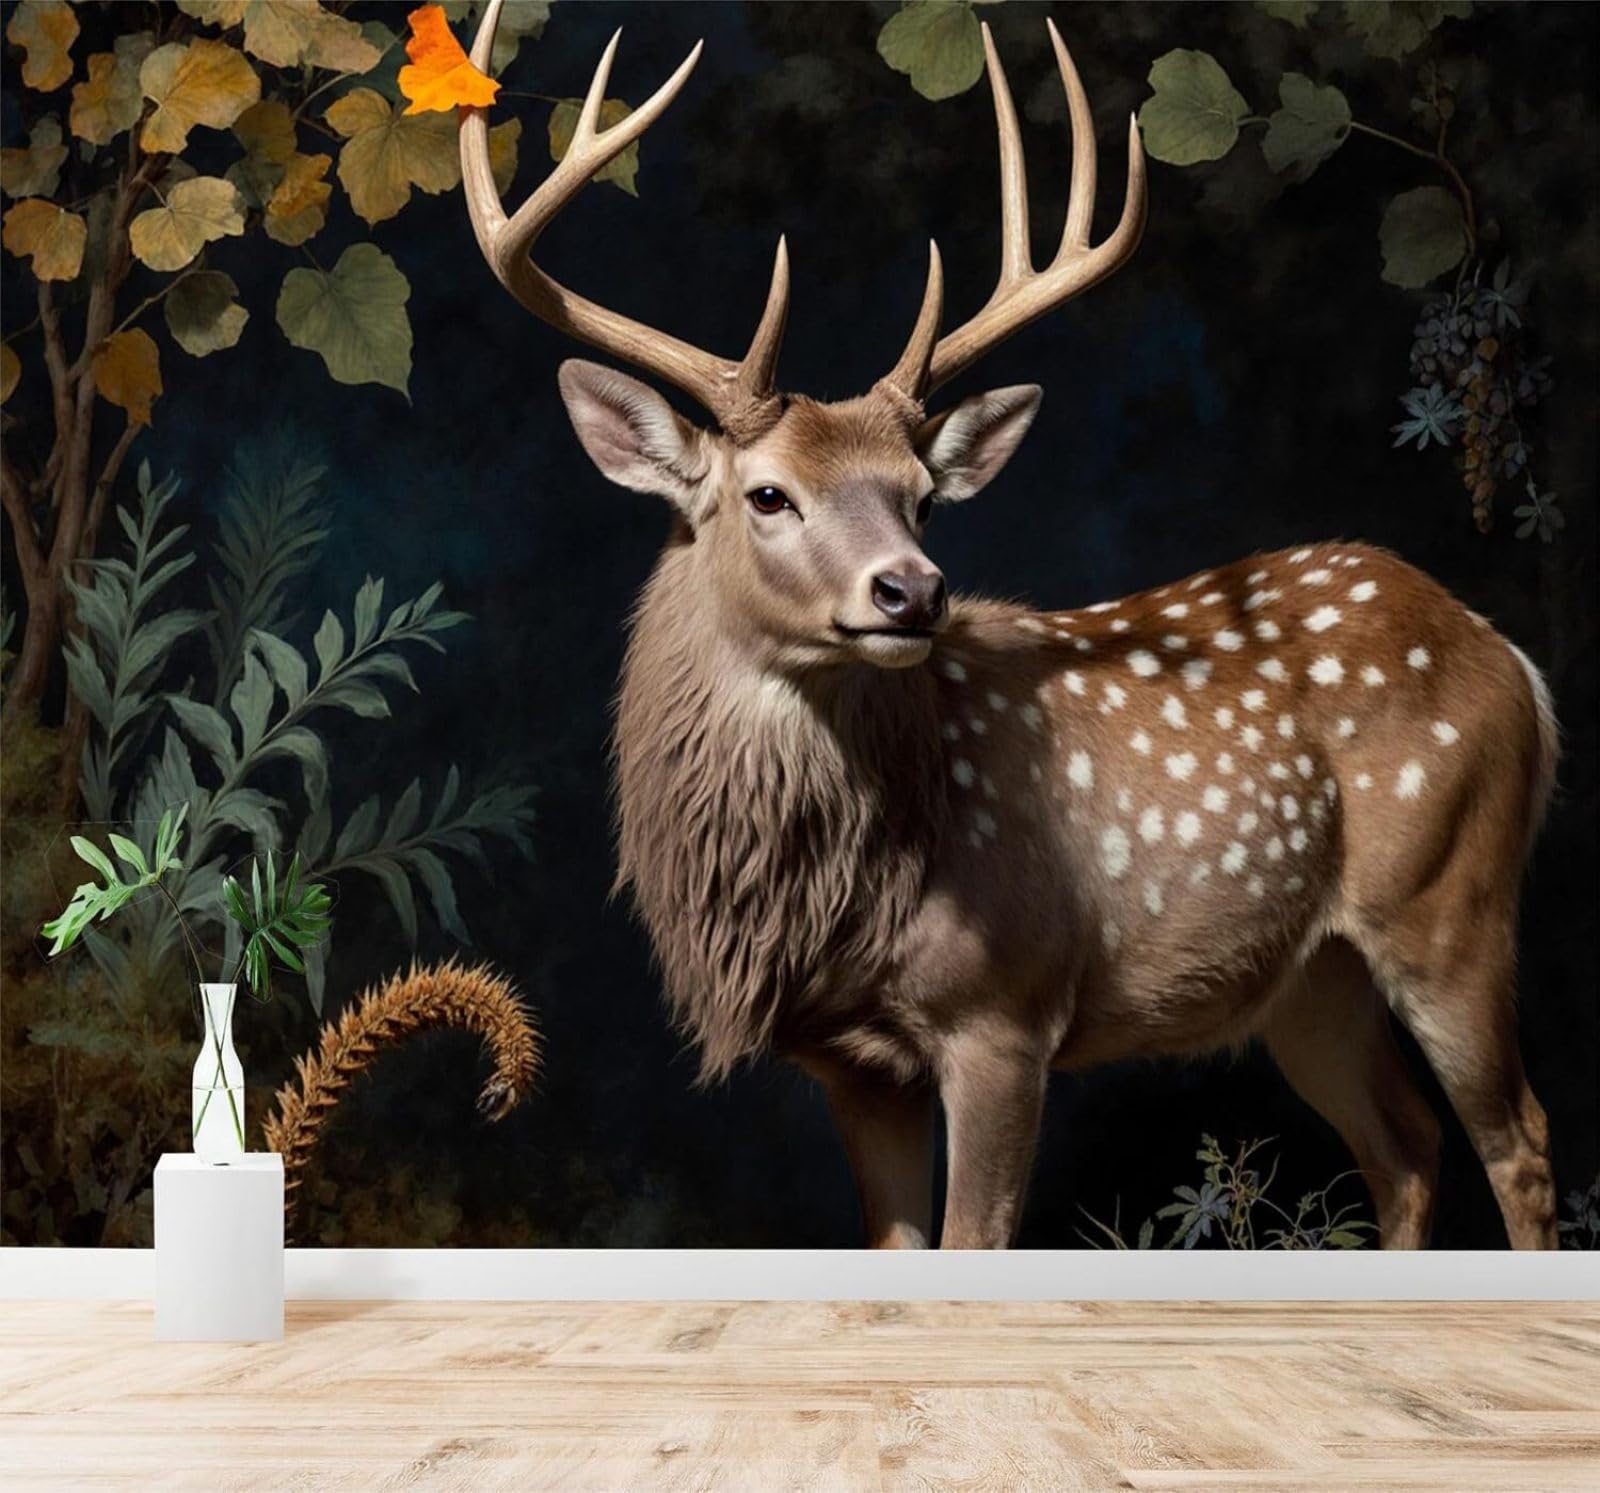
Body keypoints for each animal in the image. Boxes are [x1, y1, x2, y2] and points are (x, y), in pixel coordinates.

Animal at [460, 0, 1560, 1249]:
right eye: (768, 494)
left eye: (920, 495)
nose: (912, 590)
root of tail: (1507, 656)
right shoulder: (852, 1061)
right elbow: (895, 1249)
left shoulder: (1004, 1005)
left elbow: (970, 1244)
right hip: (1308, 976)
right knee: (1405, 1144)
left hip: (1449, 897)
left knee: (1516, 1138)